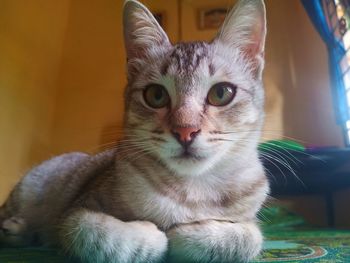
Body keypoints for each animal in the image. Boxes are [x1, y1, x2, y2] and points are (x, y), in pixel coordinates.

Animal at [0, 0, 270, 262]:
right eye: (156, 95)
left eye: (221, 93)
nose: (185, 131)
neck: (191, 191)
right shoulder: (75, 212)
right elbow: (99, 234)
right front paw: (154, 235)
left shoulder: (249, 217)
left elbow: (249, 237)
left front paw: (188, 235)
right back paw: (15, 228)